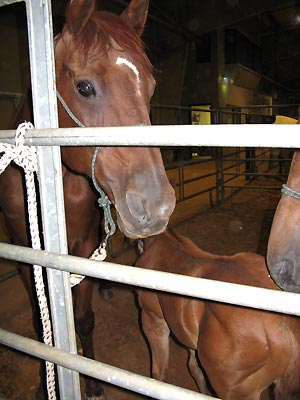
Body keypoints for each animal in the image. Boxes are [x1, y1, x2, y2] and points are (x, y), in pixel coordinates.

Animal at [0, 1, 176, 398]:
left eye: (151, 87)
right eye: (84, 87)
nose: (157, 206)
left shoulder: (79, 248)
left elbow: (82, 318)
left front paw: (92, 382)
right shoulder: (23, 250)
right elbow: (41, 323)